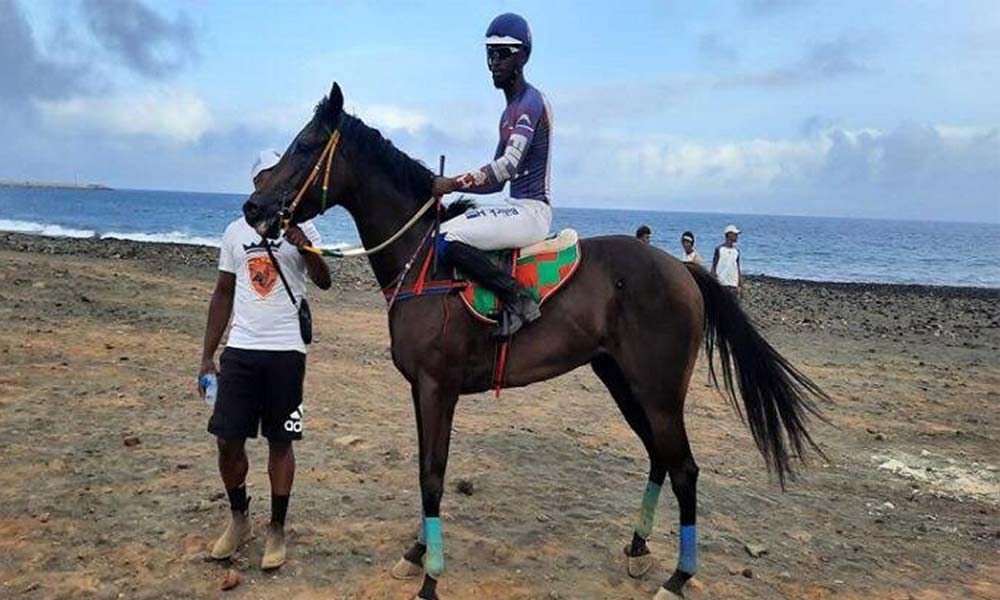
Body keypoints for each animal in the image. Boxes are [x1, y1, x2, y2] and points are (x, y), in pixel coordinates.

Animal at [242, 82, 828, 596]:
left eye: (305, 145)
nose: (252, 207)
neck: (426, 259)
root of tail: (681, 270)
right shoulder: (420, 389)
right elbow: (425, 469)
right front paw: (417, 552)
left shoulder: (437, 387)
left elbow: (433, 475)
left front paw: (432, 577)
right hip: (623, 381)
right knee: (660, 458)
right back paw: (638, 547)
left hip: (659, 392)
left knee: (684, 468)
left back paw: (678, 578)